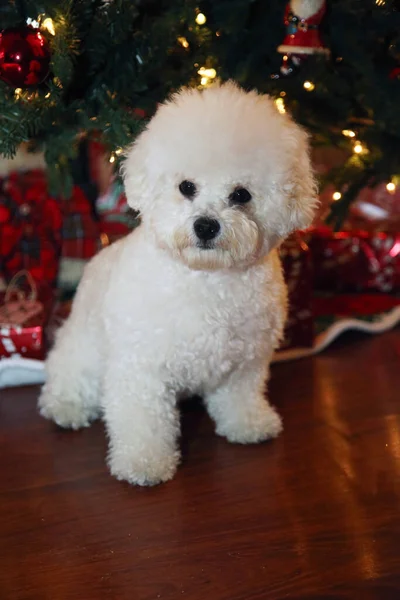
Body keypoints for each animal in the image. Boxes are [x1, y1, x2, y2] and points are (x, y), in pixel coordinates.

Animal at [39, 83, 318, 488]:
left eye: (241, 194)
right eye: (187, 187)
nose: (206, 225)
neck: (206, 278)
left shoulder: (245, 362)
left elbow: (240, 397)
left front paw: (248, 424)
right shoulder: (142, 368)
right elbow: (144, 422)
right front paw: (144, 462)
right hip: (85, 353)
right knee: (67, 377)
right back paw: (66, 406)